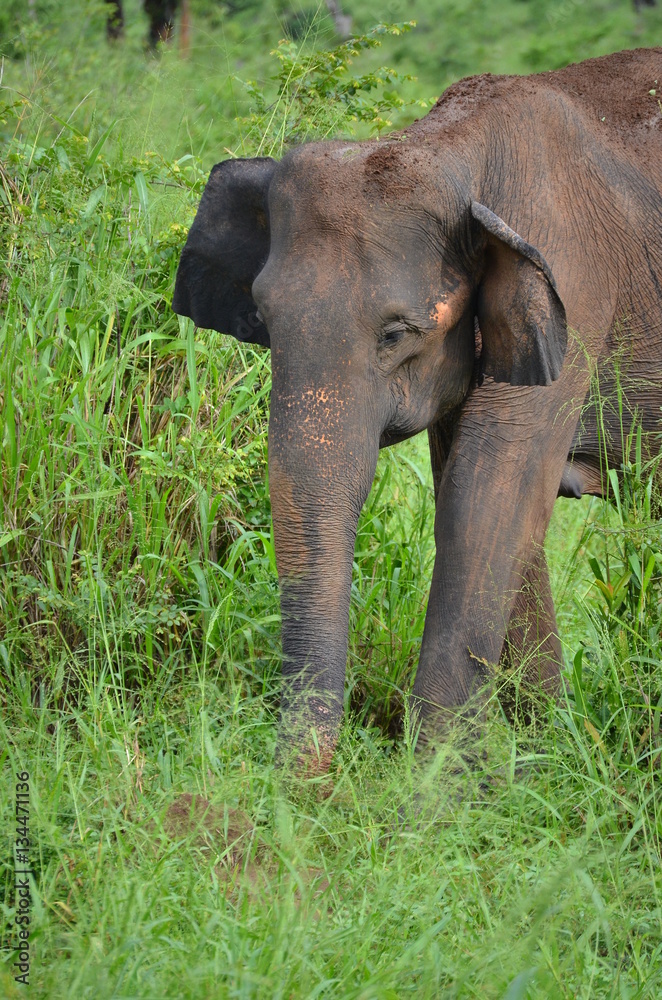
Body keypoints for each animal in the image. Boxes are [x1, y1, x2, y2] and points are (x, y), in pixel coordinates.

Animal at [173, 48, 662, 776]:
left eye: (398, 333)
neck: (450, 146)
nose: (305, 787)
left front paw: (434, 789)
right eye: (261, 317)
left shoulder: (576, 282)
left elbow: (486, 498)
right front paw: (542, 762)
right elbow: (489, 501)